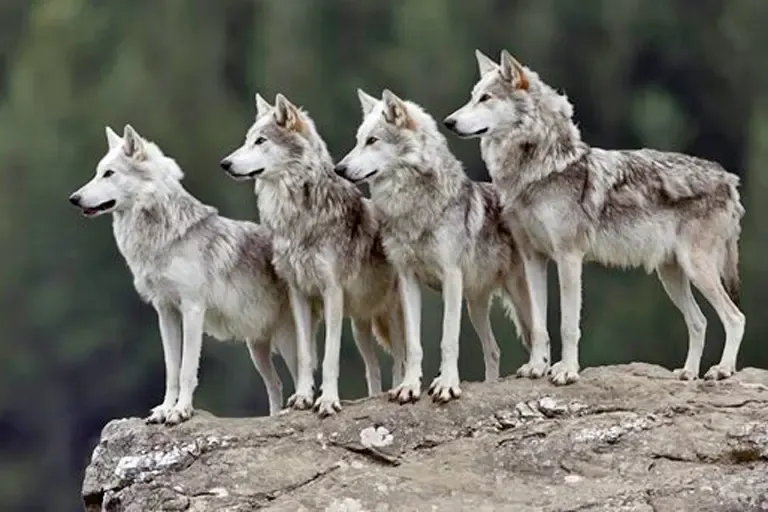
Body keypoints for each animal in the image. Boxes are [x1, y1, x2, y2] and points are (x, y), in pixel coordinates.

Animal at [68, 124, 315, 425]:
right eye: (97, 172)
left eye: (109, 173)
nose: (74, 199)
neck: (164, 238)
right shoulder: (165, 313)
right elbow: (171, 370)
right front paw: (164, 409)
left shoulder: (192, 310)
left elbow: (186, 370)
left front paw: (181, 411)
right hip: (256, 348)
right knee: (276, 385)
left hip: (287, 342)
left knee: (304, 376)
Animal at [220, 93, 409, 416]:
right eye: (247, 140)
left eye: (260, 141)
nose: (225, 163)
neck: (298, 218)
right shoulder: (298, 293)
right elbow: (306, 356)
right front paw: (303, 397)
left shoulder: (331, 291)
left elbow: (330, 356)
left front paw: (328, 400)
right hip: (360, 325)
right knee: (373, 367)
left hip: (391, 314)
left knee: (400, 358)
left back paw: (398, 390)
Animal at [334, 88, 542, 402]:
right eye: (358, 140)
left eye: (372, 140)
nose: (339, 168)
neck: (412, 209)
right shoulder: (407, 280)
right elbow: (413, 344)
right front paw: (409, 387)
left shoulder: (451, 278)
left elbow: (448, 340)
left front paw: (446, 385)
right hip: (476, 304)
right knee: (493, 350)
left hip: (517, 296)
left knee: (538, 335)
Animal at [444, 49, 746, 384]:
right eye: (472, 97)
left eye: (486, 98)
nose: (448, 122)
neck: (539, 171)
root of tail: (728, 179)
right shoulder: (533, 258)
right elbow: (539, 326)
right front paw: (537, 367)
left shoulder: (569, 257)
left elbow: (567, 325)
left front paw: (566, 371)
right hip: (671, 275)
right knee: (699, 321)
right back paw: (689, 373)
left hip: (697, 269)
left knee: (735, 317)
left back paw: (722, 370)